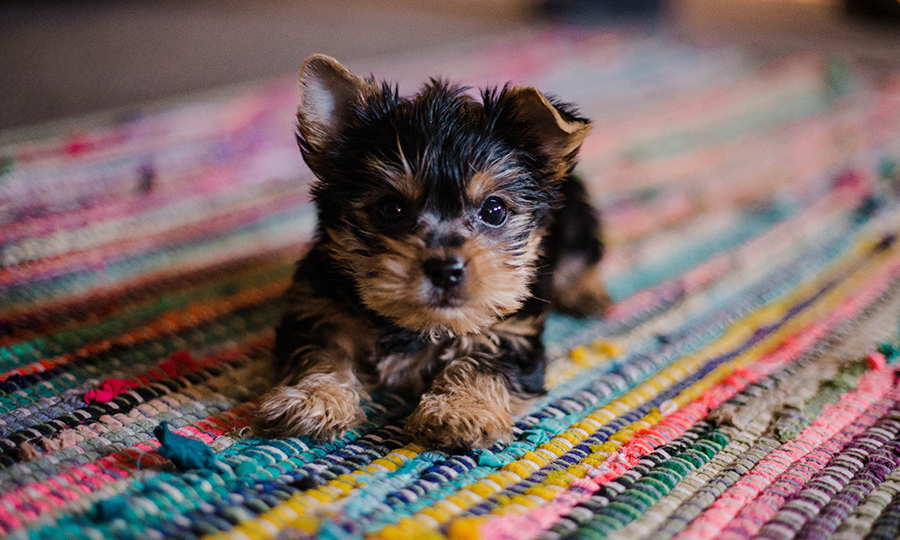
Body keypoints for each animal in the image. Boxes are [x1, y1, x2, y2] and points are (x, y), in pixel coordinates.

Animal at [255, 54, 612, 450]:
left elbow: (481, 363)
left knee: (583, 254)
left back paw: (587, 293)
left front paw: (461, 411)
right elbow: (320, 352)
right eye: (390, 209)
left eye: (494, 210)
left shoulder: (511, 330)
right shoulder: (319, 307)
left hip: (576, 218)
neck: (420, 325)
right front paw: (314, 399)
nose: (445, 269)